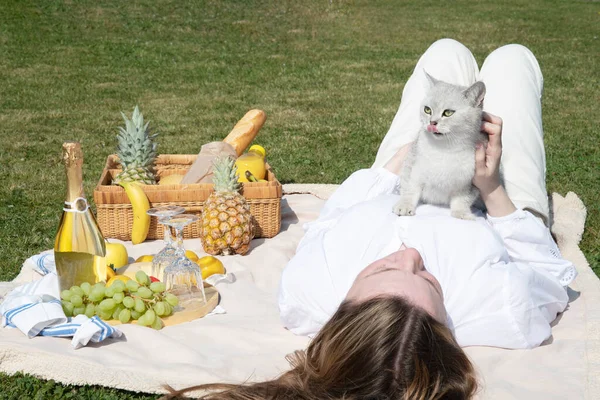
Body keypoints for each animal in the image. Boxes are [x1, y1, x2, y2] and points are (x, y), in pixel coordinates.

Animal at [394, 73, 488, 220]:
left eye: (448, 113)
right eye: (427, 110)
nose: (432, 122)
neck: (444, 149)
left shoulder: (469, 184)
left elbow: (462, 199)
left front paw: (461, 213)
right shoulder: (412, 167)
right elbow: (410, 189)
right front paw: (405, 205)